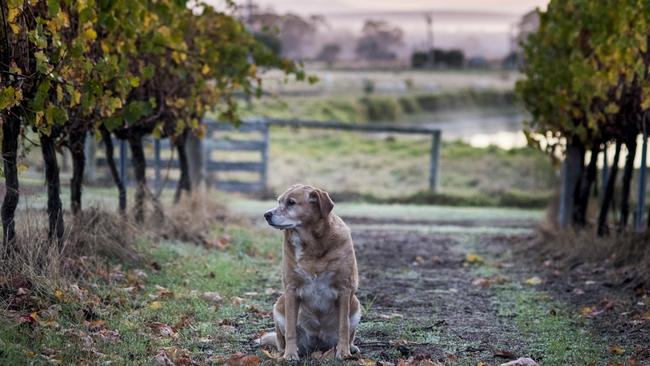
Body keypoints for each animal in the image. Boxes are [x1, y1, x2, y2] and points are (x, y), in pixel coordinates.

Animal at [258, 184, 360, 358]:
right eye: (279, 201)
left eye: (291, 202)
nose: (266, 215)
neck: (311, 245)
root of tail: (318, 342)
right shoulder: (291, 290)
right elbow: (290, 329)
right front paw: (290, 354)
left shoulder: (344, 289)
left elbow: (343, 327)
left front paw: (343, 352)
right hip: (279, 305)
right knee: (281, 339)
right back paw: (285, 351)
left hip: (355, 305)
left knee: (349, 333)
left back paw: (350, 347)